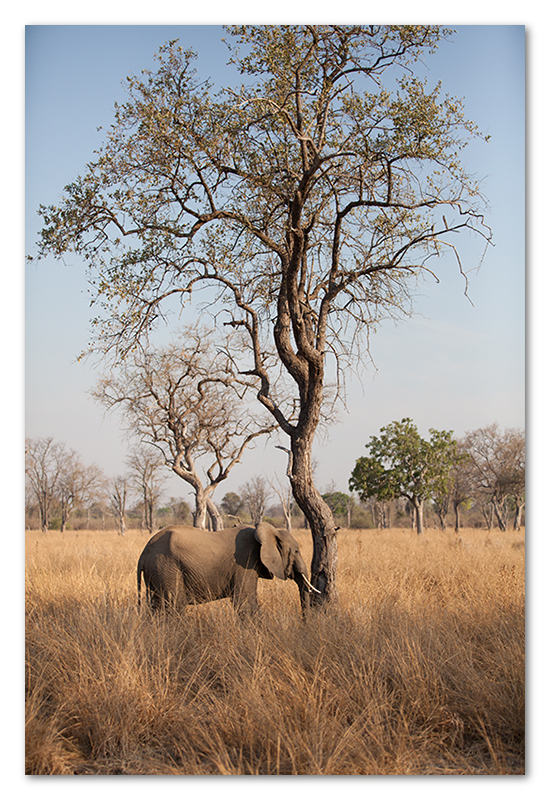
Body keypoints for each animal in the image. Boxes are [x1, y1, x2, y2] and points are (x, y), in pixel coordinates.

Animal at [136, 520, 322, 616]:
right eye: (296, 551)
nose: (305, 625)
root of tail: (143, 554)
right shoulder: (245, 562)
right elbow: (246, 603)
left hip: (157, 572)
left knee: (156, 607)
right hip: (166, 567)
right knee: (174, 606)